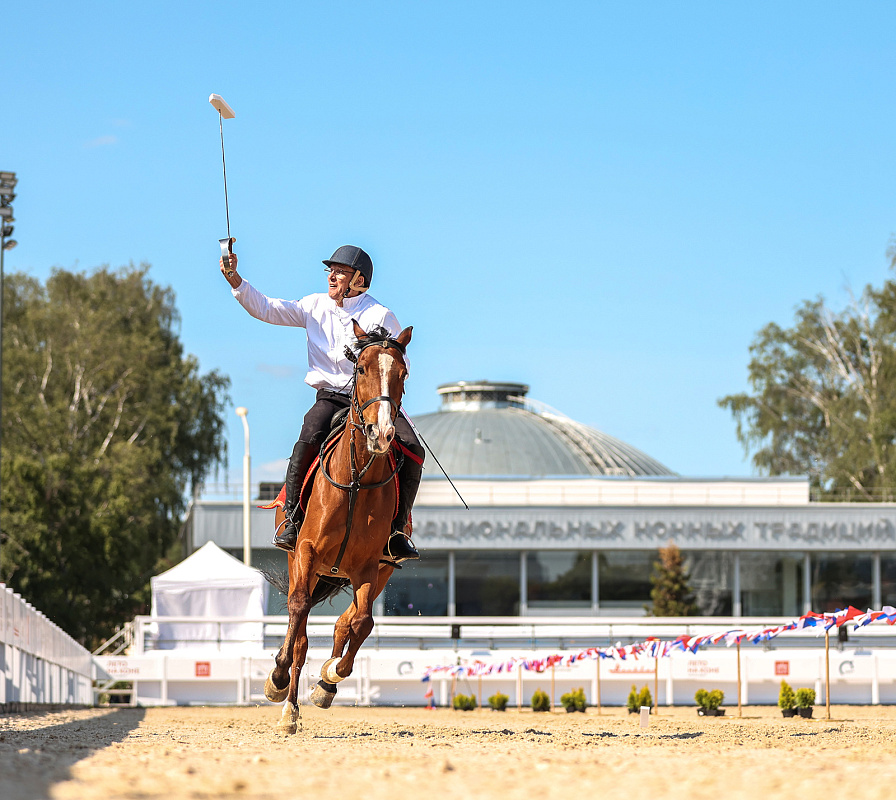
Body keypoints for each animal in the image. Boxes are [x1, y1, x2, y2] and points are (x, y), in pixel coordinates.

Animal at [260, 320, 412, 732]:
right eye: (360, 368)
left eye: (403, 373)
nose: (382, 433)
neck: (357, 480)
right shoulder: (306, 552)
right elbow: (298, 616)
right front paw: (279, 680)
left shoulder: (368, 566)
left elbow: (361, 622)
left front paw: (328, 680)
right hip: (303, 564)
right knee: (300, 631)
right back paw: (287, 703)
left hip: (378, 571)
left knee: (350, 623)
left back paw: (323, 684)